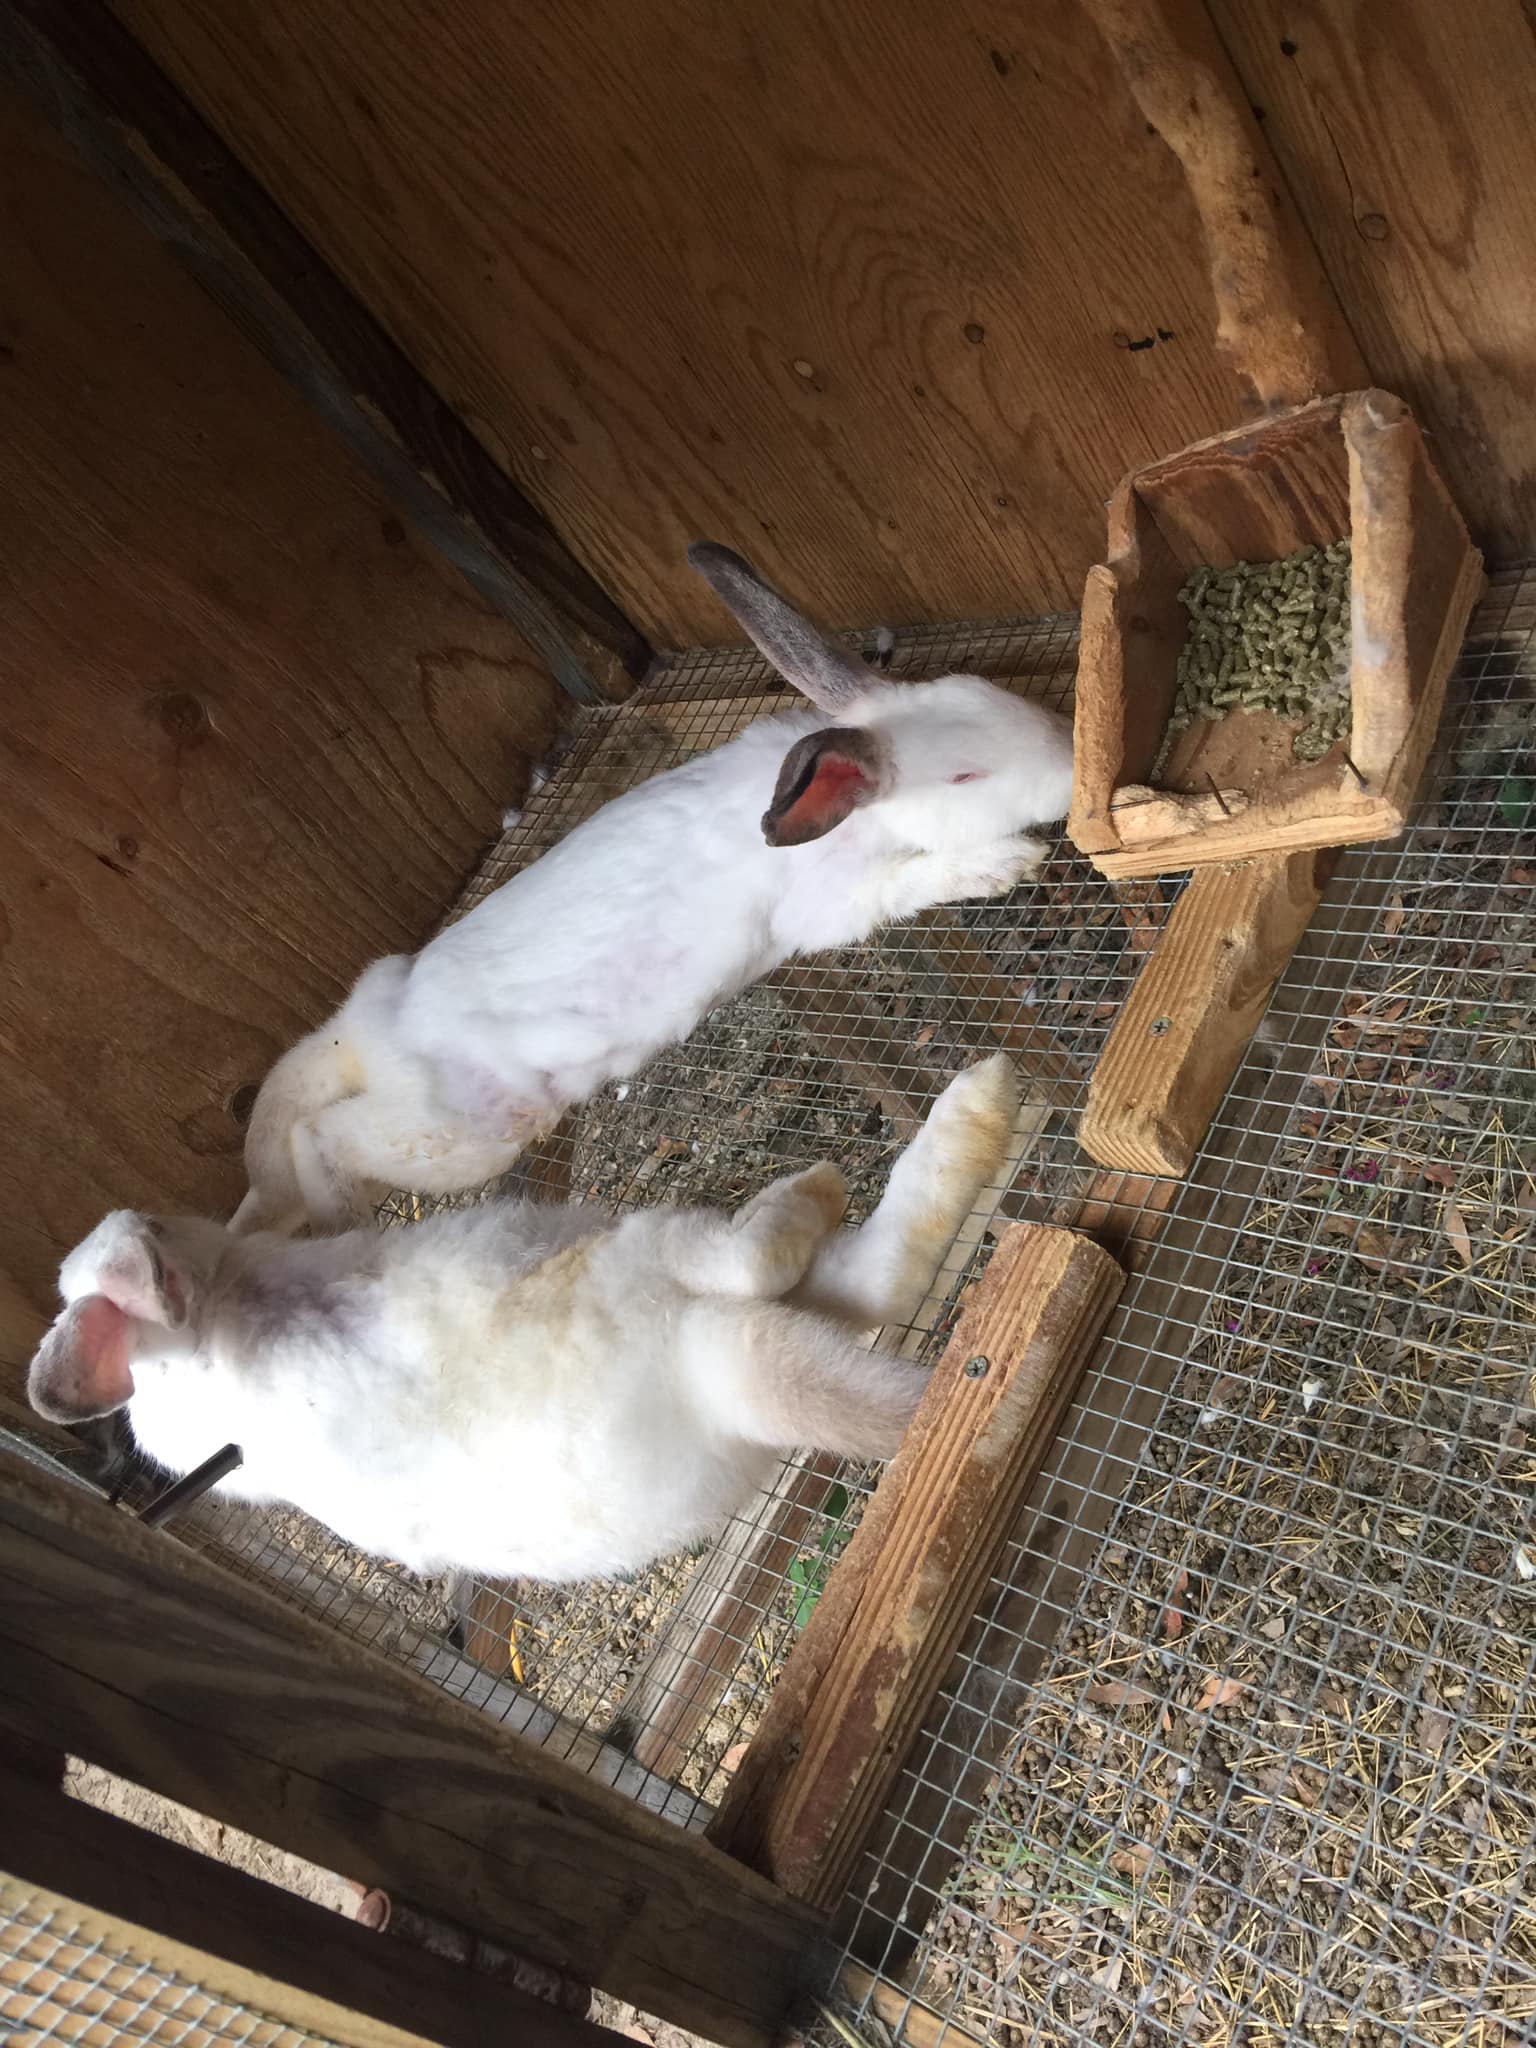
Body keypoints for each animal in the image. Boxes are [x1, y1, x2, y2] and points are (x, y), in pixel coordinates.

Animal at [29, 1057, 1019, 1584]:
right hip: (648, 1253)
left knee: (878, 1277)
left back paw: (976, 1110)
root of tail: (714, 1375)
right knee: (787, 1260)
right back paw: (841, 1172)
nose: (159, 1231)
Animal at [232, 541, 1072, 1234]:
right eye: (966, 776)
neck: (848, 815)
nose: (1070, 766)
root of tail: (364, 1027)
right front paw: (1009, 861)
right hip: (465, 1131)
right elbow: (914, 879)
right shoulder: (831, 904)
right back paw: (339, 1221)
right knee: (322, 1136)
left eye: (1000, 697)